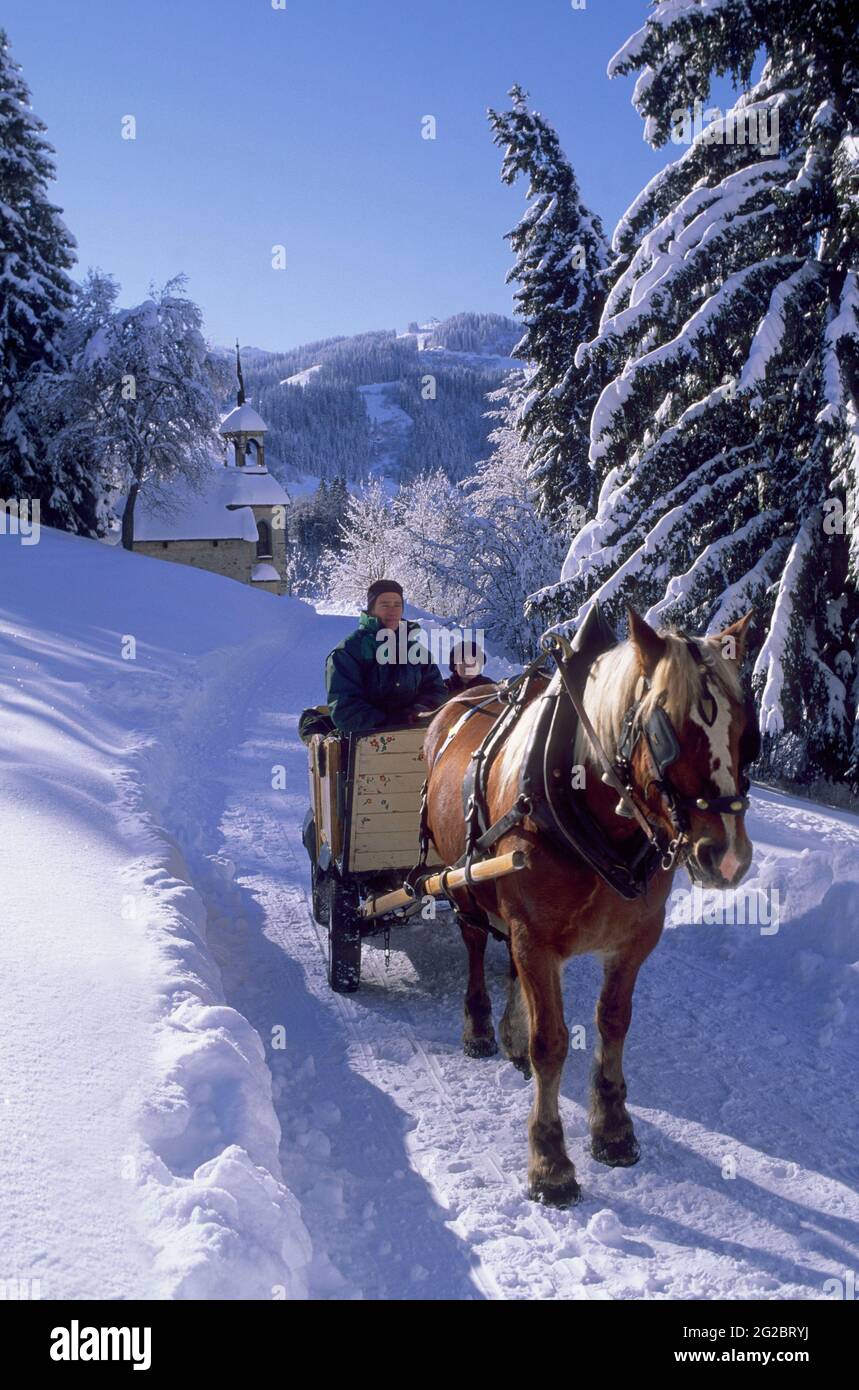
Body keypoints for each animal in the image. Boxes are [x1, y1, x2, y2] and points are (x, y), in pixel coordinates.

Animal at [422, 608, 756, 1206]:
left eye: (746, 730)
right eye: (664, 731)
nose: (730, 858)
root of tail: (461, 701)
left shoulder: (634, 939)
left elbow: (614, 1023)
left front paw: (614, 1128)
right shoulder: (534, 935)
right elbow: (551, 1042)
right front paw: (549, 1160)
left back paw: (509, 1030)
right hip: (461, 881)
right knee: (476, 942)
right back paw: (480, 1026)